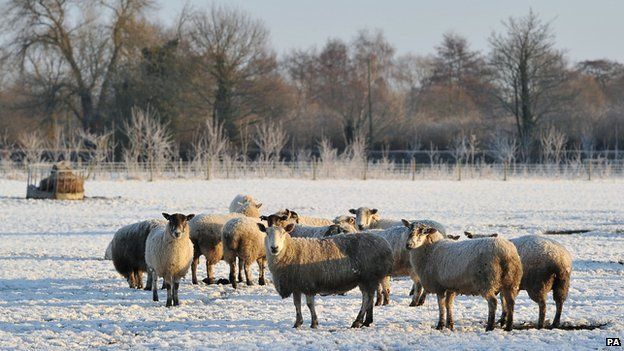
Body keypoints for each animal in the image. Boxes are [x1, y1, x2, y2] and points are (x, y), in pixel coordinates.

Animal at [258, 224, 394, 328]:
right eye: (267, 233)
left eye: (283, 233)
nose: (274, 248)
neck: (291, 251)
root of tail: (385, 243)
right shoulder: (297, 285)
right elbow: (297, 304)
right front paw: (298, 323)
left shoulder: (308, 283)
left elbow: (309, 304)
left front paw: (314, 323)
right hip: (366, 279)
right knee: (368, 298)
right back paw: (366, 321)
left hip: (369, 277)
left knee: (367, 299)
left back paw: (358, 322)